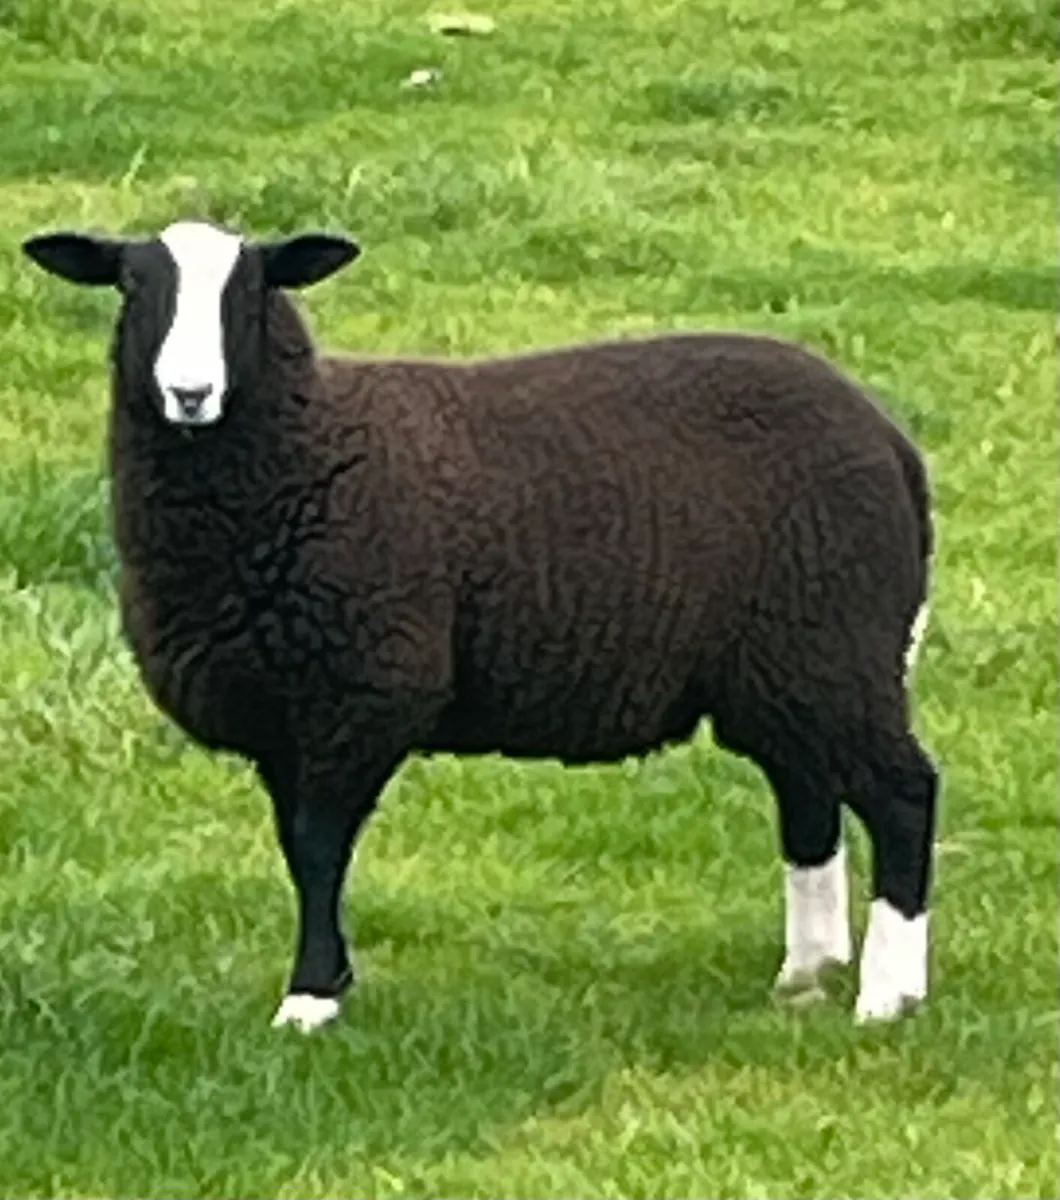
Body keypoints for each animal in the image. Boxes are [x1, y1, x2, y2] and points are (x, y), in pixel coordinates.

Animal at [22, 218, 939, 1034]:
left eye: (250, 293)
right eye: (132, 286)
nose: (190, 394)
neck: (307, 449)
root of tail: (892, 441)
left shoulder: (363, 690)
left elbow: (319, 847)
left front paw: (310, 1000)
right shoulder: (284, 715)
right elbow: (296, 850)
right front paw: (330, 981)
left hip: (836, 648)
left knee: (904, 793)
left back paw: (887, 996)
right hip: (781, 669)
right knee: (809, 798)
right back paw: (807, 973)